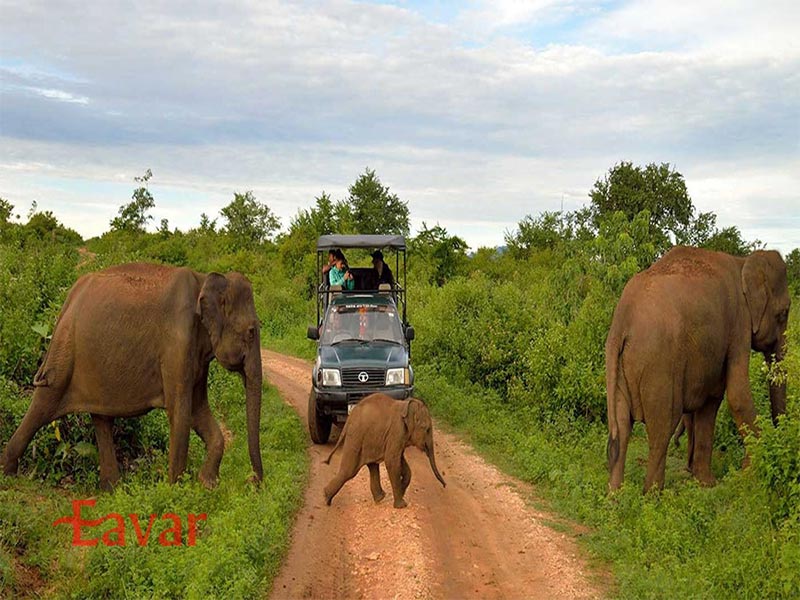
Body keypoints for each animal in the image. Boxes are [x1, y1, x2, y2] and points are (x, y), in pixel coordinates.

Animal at [1, 264, 264, 490]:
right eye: (252, 332)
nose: (253, 482)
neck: (204, 280)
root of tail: (70, 298)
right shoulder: (177, 341)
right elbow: (180, 410)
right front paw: (175, 491)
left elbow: (198, 409)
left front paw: (207, 484)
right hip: (64, 352)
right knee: (44, 403)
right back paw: (7, 474)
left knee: (101, 418)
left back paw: (112, 489)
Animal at [608, 246, 792, 490]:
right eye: (783, 313)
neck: (743, 262)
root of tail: (622, 321)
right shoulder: (739, 323)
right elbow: (737, 395)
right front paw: (747, 472)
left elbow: (710, 401)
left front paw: (706, 483)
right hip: (658, 365)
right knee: (662, 427)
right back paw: (653, 495)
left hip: (619, 365)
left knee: (621, 427)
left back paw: (615, 495)